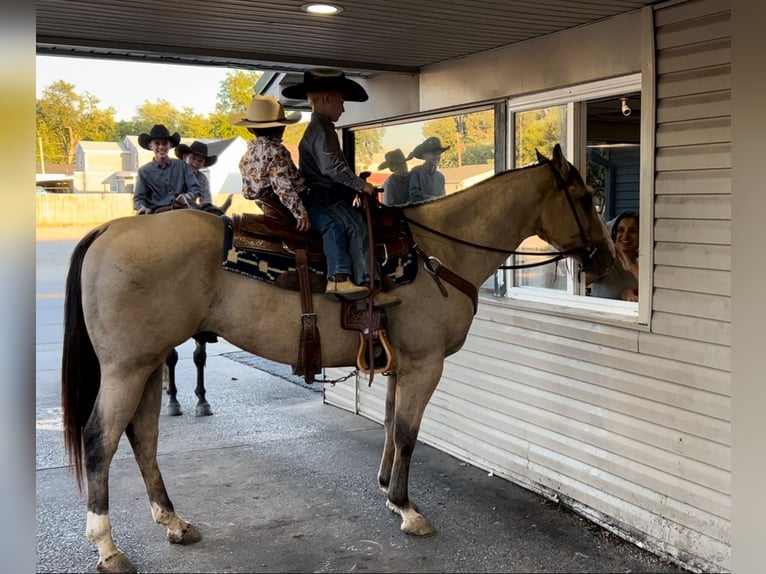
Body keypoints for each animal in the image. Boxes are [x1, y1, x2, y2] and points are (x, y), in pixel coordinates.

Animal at [61, 145, 613, 573]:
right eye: (586, 199)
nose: (605, 259)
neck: (436, 254)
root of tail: (107, 231)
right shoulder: (425, 364)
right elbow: (408, 434)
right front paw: (407, 509)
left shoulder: (399, 365)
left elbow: (390, 425)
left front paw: (388, 490)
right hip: (127, 368)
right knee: (100, 441)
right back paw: (108, 548)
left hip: (150, 363)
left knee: (143, 437)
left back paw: (173, 522)